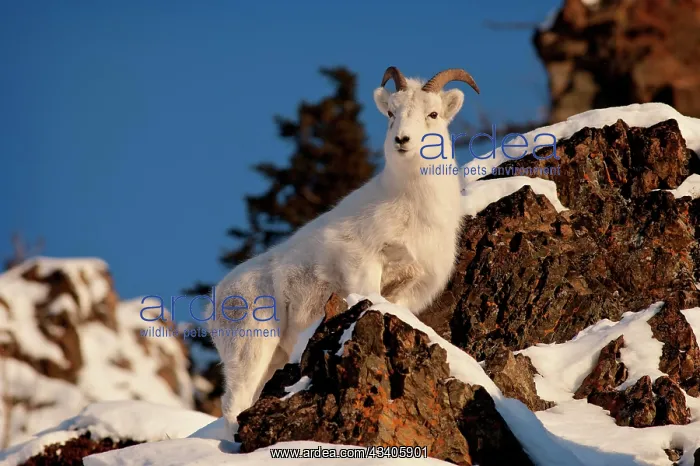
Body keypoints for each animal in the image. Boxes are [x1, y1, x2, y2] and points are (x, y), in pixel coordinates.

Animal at [209, 66, 480, 438]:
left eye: (433, 114)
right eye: (391, 113)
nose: (403, 141)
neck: (412, 207)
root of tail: (216, 300)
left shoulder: (412, 286)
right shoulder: (362, 264)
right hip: (251, 349)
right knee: (234, 402)